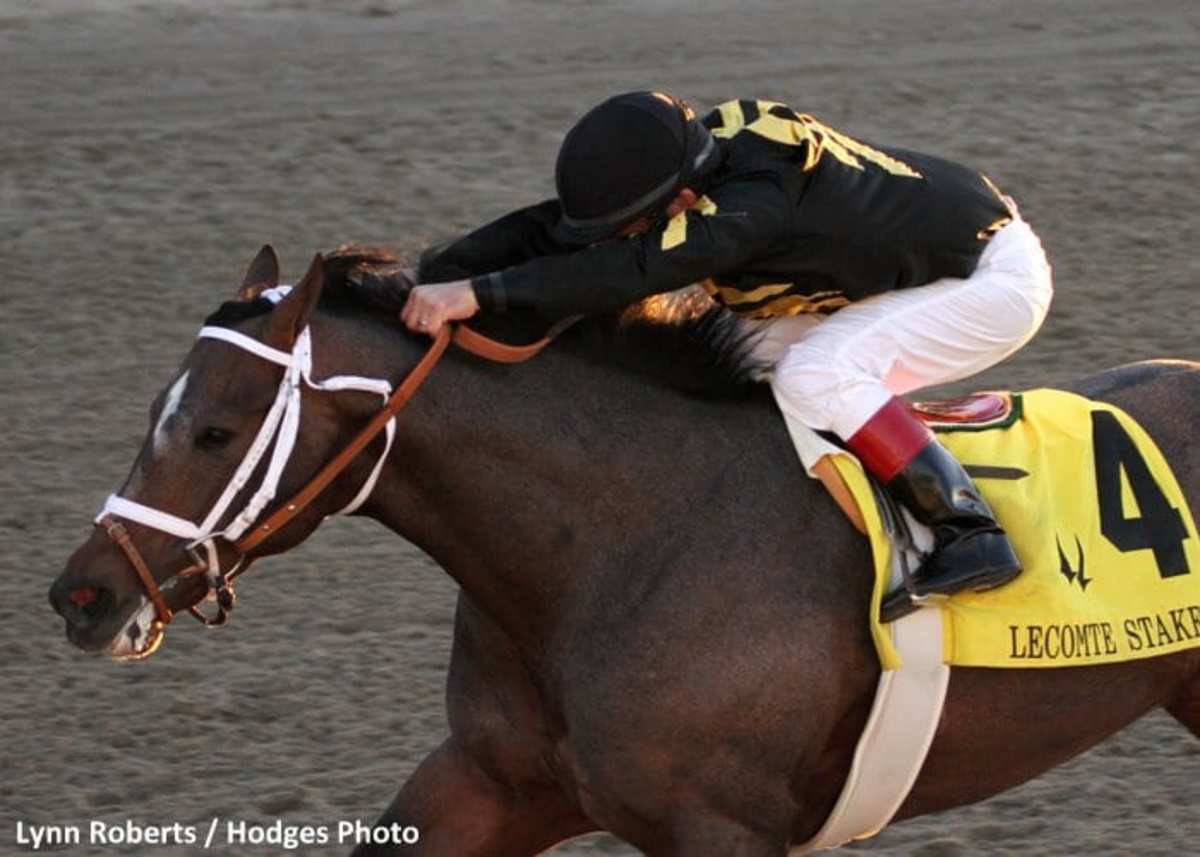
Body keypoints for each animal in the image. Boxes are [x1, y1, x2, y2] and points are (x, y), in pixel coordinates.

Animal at [49, 247, 1200, 856]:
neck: (617, 546)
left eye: (214, 430)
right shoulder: (489, 779)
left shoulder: (723, 826)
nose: (81, 595)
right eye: (154, 412)